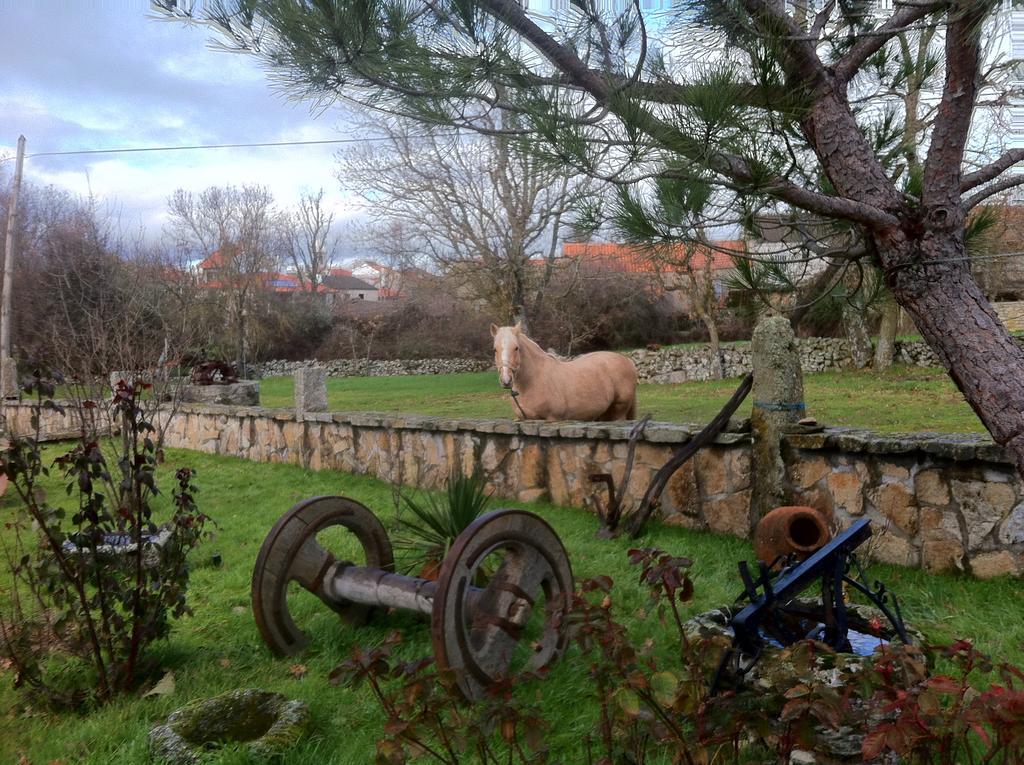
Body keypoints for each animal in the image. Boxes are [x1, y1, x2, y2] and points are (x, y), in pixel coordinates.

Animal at [489, 321, 638, 421]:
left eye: (516, 348)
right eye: (495, 349)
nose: (506, 380)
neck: (532, 381)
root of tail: (626, 360)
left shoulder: (552, 419)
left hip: (619, 413)